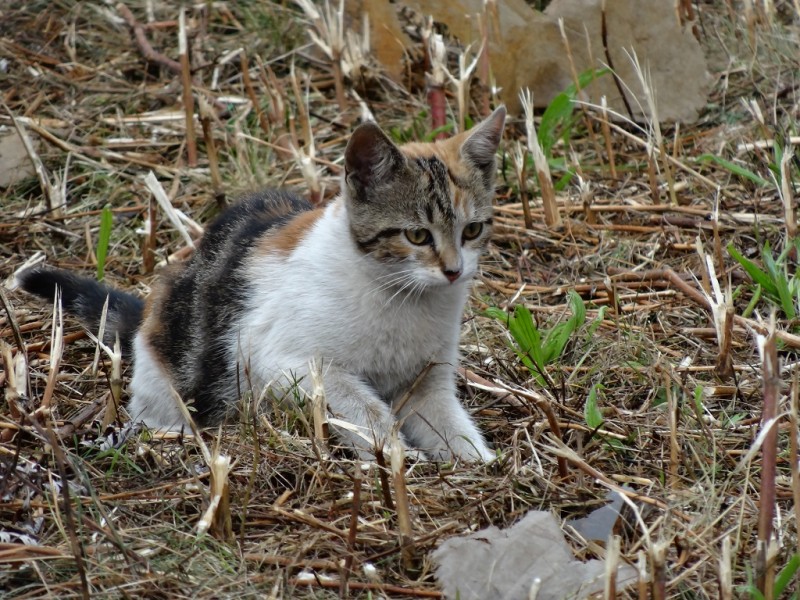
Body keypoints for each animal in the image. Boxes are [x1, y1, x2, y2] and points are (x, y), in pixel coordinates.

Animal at [17, 106, 506, 464]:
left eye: (472, 230)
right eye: (417, 235)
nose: (454, 270)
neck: (405, 299)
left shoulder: (428, 380)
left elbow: (447, 421)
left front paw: (477, 460)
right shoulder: (286, 363)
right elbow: (361, 408)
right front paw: (397, 452)